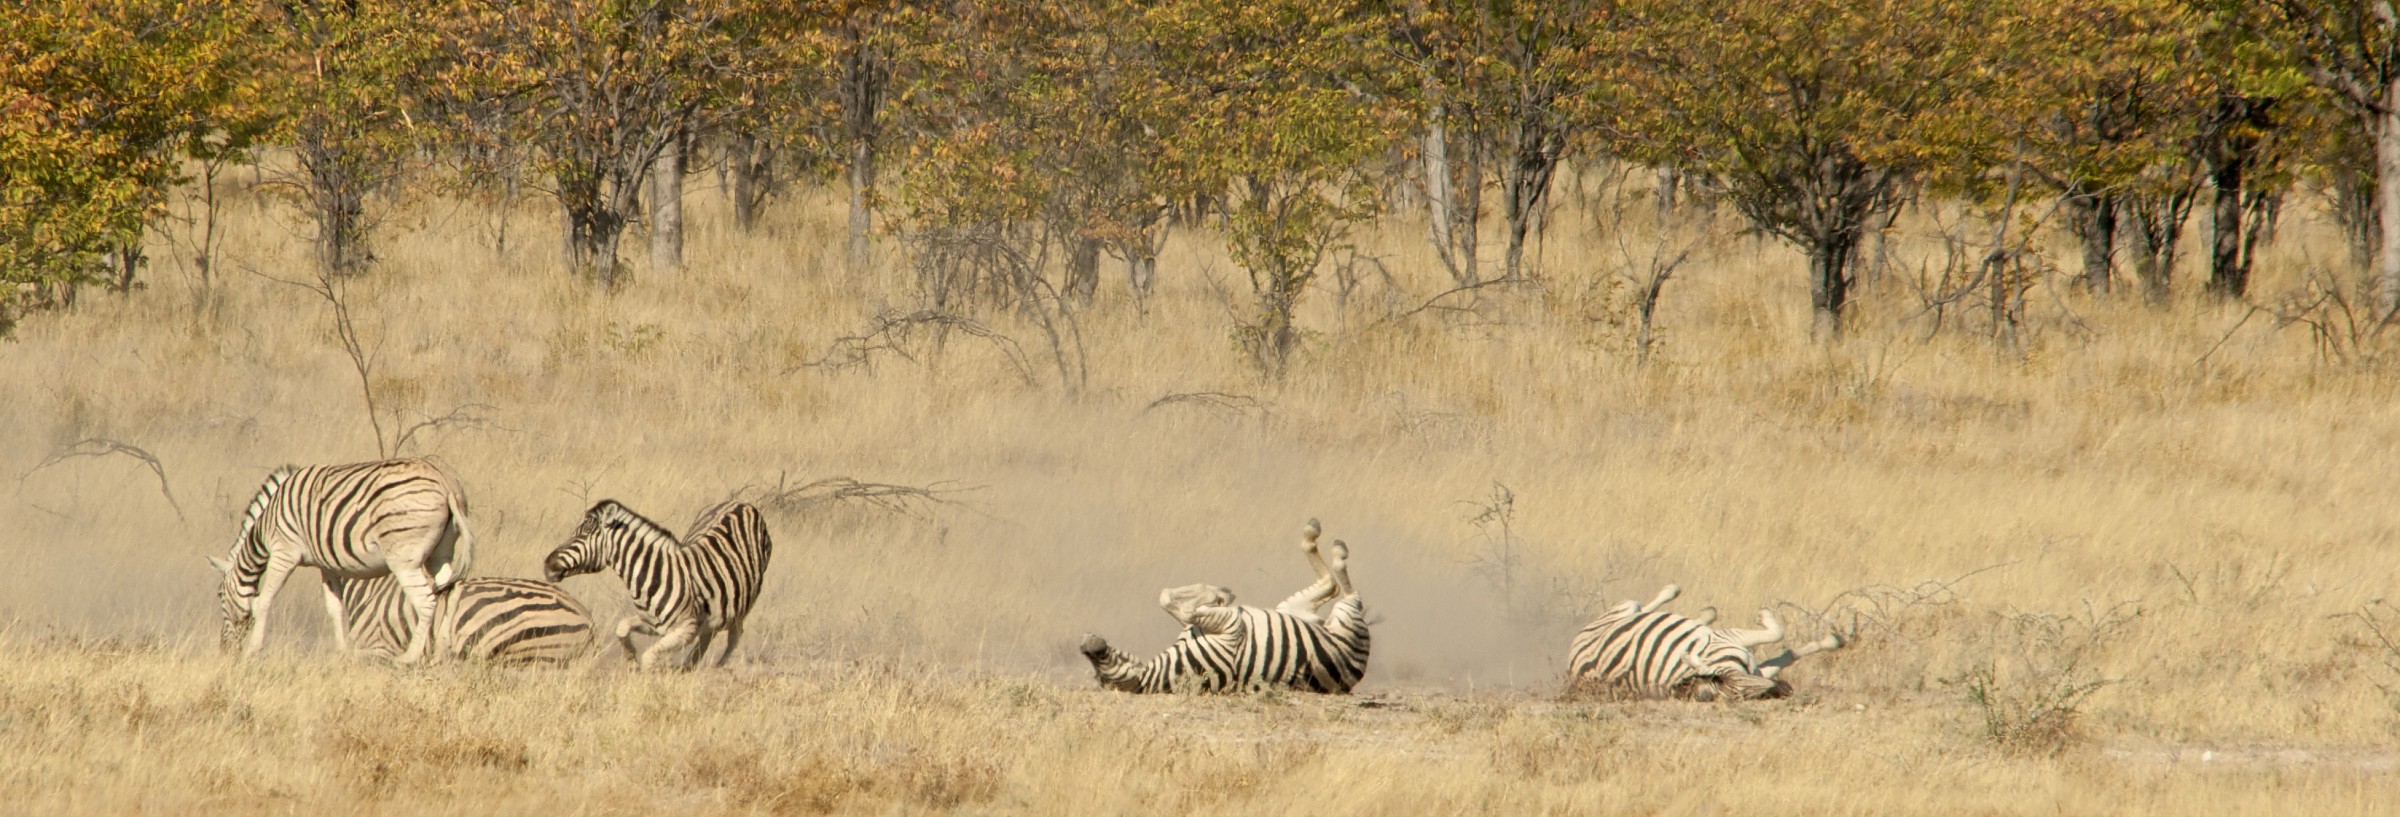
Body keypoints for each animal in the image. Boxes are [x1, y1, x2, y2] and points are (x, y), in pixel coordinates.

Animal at [206, 458, 475, 665]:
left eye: (219, 595)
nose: (223, 649)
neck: (265, 527)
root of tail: (445, 482)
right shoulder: (327, 567)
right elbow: (334, 608)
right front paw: (342, 652)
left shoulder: (284, 553)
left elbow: (263, 600)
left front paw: (252, 650)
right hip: (440, 552)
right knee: (450, 592)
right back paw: (441, 652)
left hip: (403, 558)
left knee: (426, 601)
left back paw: (409, 657)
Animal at [542, 499, 773, 671]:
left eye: (582, 534)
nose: (546, 565)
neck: (651, 577)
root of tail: (741, 503)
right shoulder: (652, 624)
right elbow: (622, 628)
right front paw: (630, 656)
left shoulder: (685, 629)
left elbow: (650, 656)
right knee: (710, 635)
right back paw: (690, 666)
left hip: (742, 604)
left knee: (734, 635)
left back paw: (717, 667)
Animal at [1079, 518, 1370, 694]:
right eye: (1104, 667)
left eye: (1105, 659)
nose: (1087, 642)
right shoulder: (1233, 629)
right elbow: (1191, 610)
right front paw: (1215, 597)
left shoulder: (1204, 626)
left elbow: (1167, 598)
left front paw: (1218, 594)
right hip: (1345, 619)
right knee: (1344, 588)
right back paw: (1336, 550)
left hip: (1290, 609)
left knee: (1330, 584)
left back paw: (1316, 534)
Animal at [1564, 584, 1845, 701]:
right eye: (1744, 695)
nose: (1782, 690)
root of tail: (1573, 666)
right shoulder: (1731, 637)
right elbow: (1777, 632)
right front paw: (1835, 638)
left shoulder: (1757, 666)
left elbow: (1785, 655)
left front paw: (1830, 641)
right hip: (1622, 608)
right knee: (1641, 605)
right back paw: (1676, 593)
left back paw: (1705, 614)